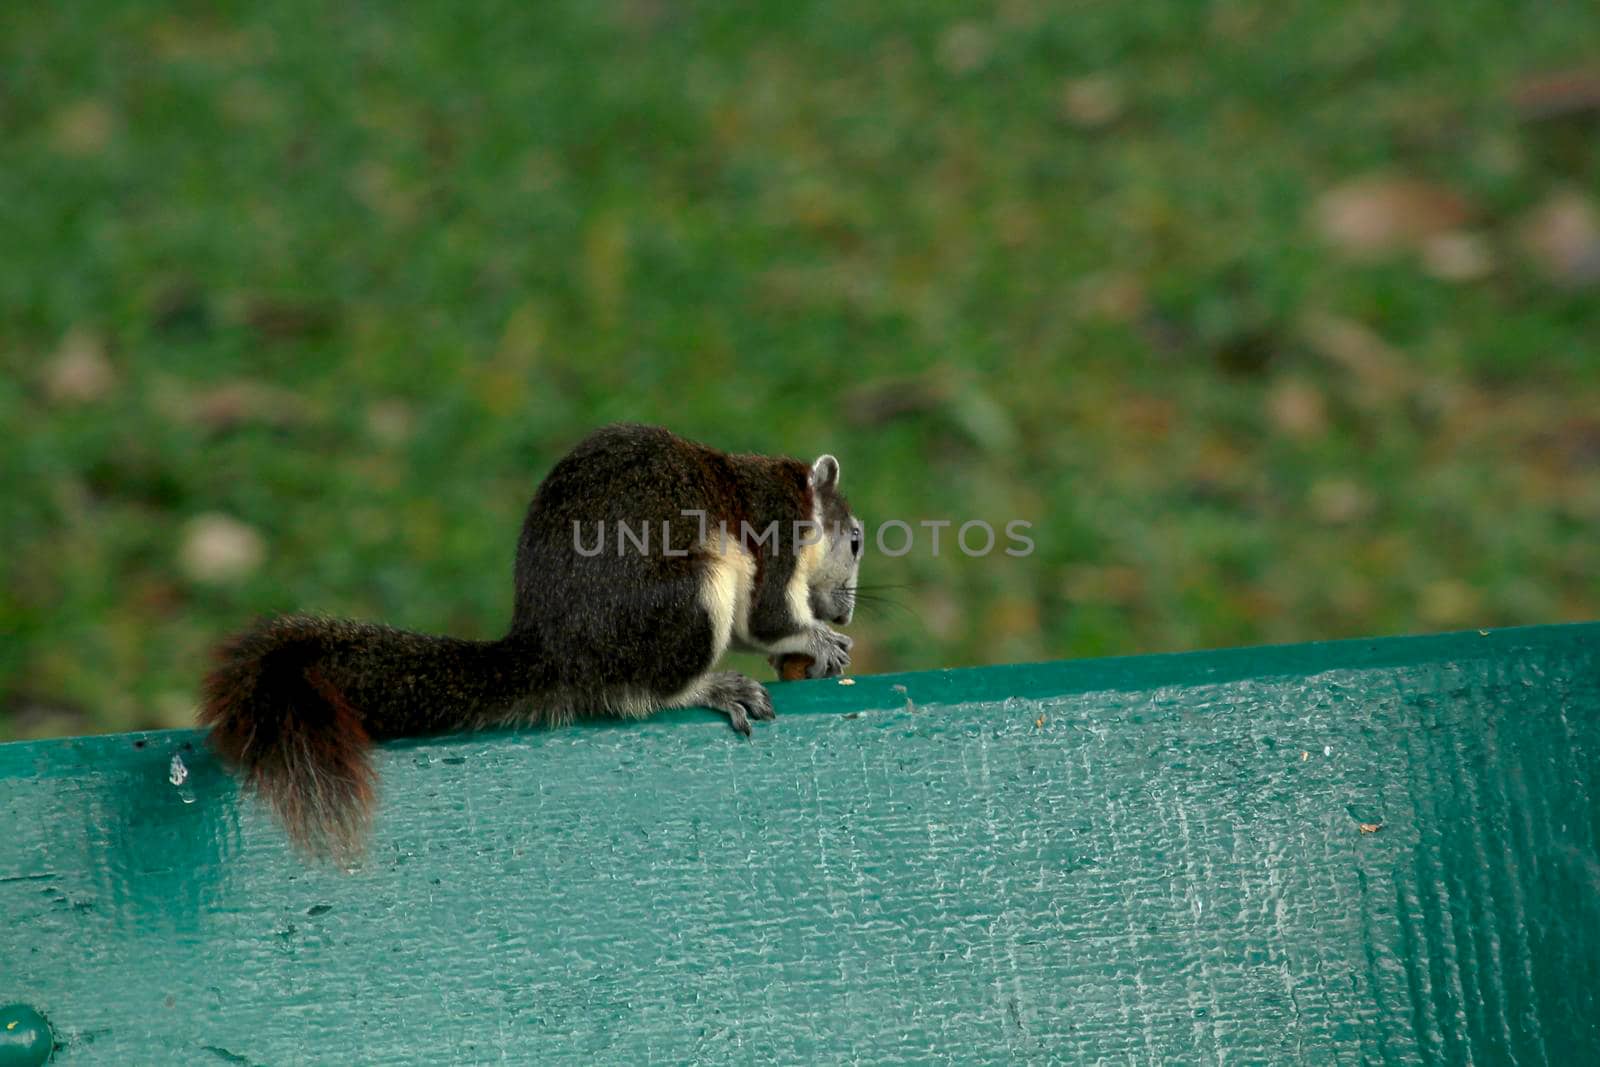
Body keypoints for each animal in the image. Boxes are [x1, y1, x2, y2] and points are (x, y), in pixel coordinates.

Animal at [200, 422, 864, 857]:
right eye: (856, 540)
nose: (846, 611)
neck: (781, 488)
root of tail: (555, 652)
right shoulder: (775, 535)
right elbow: (768, 618)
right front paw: (818, 640)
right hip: (689, 598)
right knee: (640, 692)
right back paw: (711, 687)